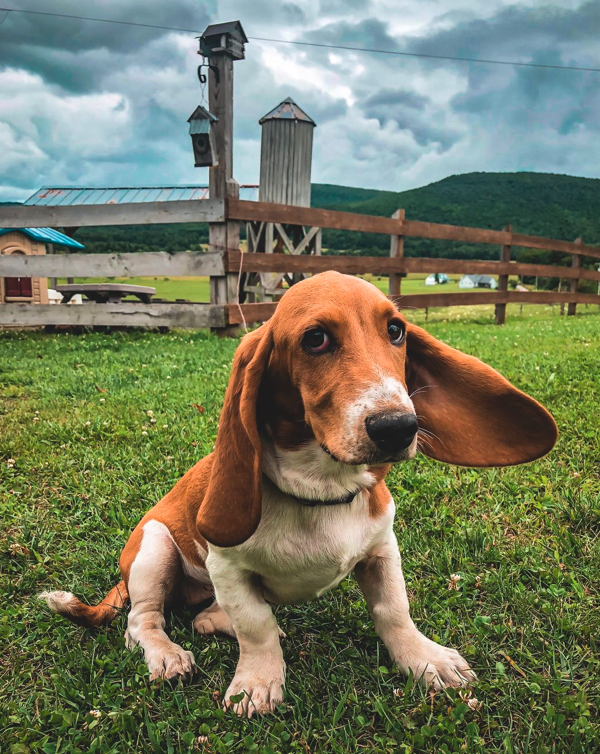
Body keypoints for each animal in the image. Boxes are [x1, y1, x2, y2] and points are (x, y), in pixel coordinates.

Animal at [40, 271, 557, 717]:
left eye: (395, 330)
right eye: (316, 339)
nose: (398, 427)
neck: (322, 489)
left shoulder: (382, 548)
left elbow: (394, 610)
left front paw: (423, 658)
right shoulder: (226, 566)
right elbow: (257, 627)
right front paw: (257, 682)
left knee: (203, 615)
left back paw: (214, 622)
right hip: (155, 547)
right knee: (142, 621)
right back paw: (166, 654)